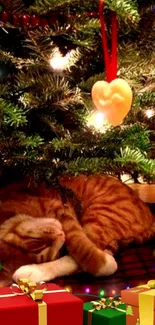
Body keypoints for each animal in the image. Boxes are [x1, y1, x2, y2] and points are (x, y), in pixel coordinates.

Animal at [0, 172, 154, 286]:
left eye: (34, 238)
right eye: (47, 253)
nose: (59, 235)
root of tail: (149, 213)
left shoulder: (63, 209)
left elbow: (80, 246)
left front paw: (103, 265)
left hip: (101, 214)